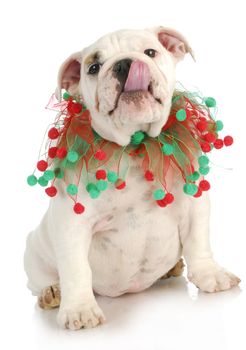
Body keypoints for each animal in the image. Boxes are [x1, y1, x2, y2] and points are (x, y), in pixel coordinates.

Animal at [24, 26, 240, 330]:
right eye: (93, 67)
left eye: (150, 52)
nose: (125, 63)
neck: (136, 145)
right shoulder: (71, 224)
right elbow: (76, 269)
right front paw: (80, 309)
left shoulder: (195, 204)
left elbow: (199, 241)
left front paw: (210, 274)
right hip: (33, 250)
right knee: (42, 279)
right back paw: (52, 292)